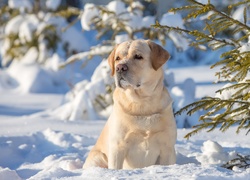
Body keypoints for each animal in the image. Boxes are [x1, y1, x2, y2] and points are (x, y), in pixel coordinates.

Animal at [83, 39, 177, 170]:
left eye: (138, 56)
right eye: (117, 58)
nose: (120, 68)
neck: (141, 103)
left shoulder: (167, 147)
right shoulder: (118, 147)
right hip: (98, 157)